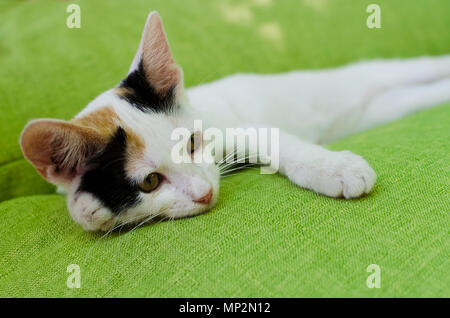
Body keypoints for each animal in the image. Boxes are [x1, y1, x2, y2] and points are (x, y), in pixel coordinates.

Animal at [19, 11, 450, 231]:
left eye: (193, 142)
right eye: (150, 182)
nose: (204, 193)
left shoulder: (234, 126)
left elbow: (274, 139)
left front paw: (333, 168)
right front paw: (90, 209)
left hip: (377, 75)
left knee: (414, 69)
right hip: (383, 107)